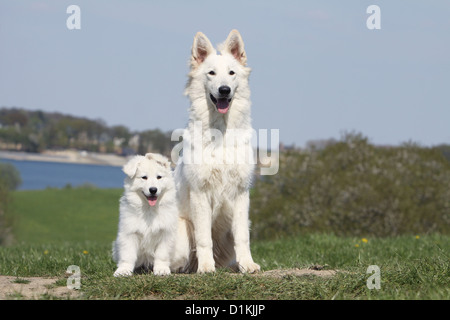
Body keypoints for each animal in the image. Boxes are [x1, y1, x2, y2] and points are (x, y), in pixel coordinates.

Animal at [175, 30, 260, 274]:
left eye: (232, 73)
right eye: (211, 73)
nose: (224, 90)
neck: (220, 133)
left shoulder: (241, 194)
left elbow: (243, 237)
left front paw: (247, 264)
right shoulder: (201, 194)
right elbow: (204, 238)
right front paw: (206, 267)